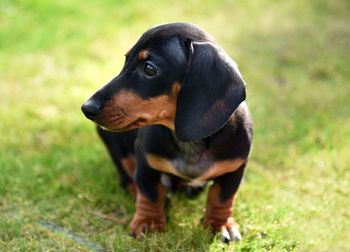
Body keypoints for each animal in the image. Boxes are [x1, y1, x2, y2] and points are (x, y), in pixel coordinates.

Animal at [81, 22, 253, 243]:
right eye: (126, 60)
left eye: (149, 68)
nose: (87, 108)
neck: (189, 143)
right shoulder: (146, 162)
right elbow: (149, 193)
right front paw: (149, 222)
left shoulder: (234, 168)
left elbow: (222, 198)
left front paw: (220, 224)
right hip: (113, 141)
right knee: (127, 177)